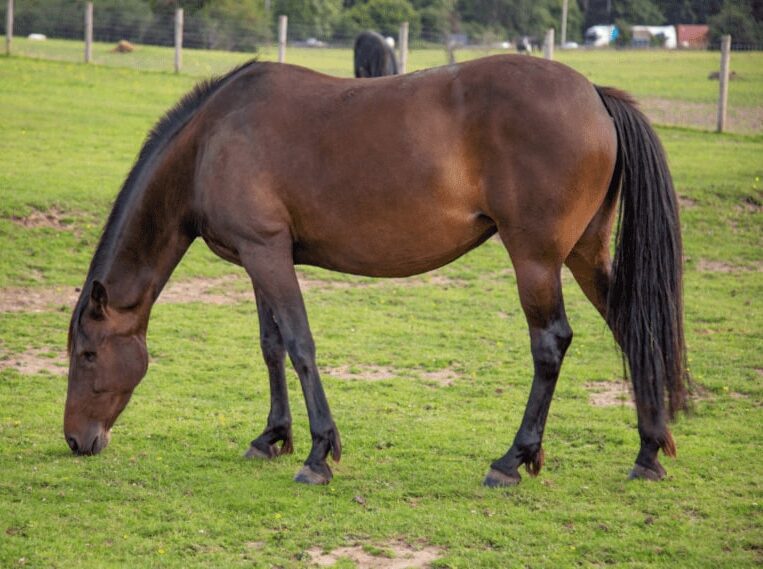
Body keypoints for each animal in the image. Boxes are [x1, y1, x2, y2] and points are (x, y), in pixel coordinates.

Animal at [65, 55, 689, 487]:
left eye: (87, 354)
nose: (76, 440)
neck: (211, 141)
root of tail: (595, 95)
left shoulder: (267, 254)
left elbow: (300, 345)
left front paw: (318, 454)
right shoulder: (258, 258)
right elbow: (271, 346)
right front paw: (272, 437)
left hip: (535, 260)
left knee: (550, 344)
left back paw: (513, 459)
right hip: (585, 253)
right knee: (632, 329)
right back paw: (648, 453)